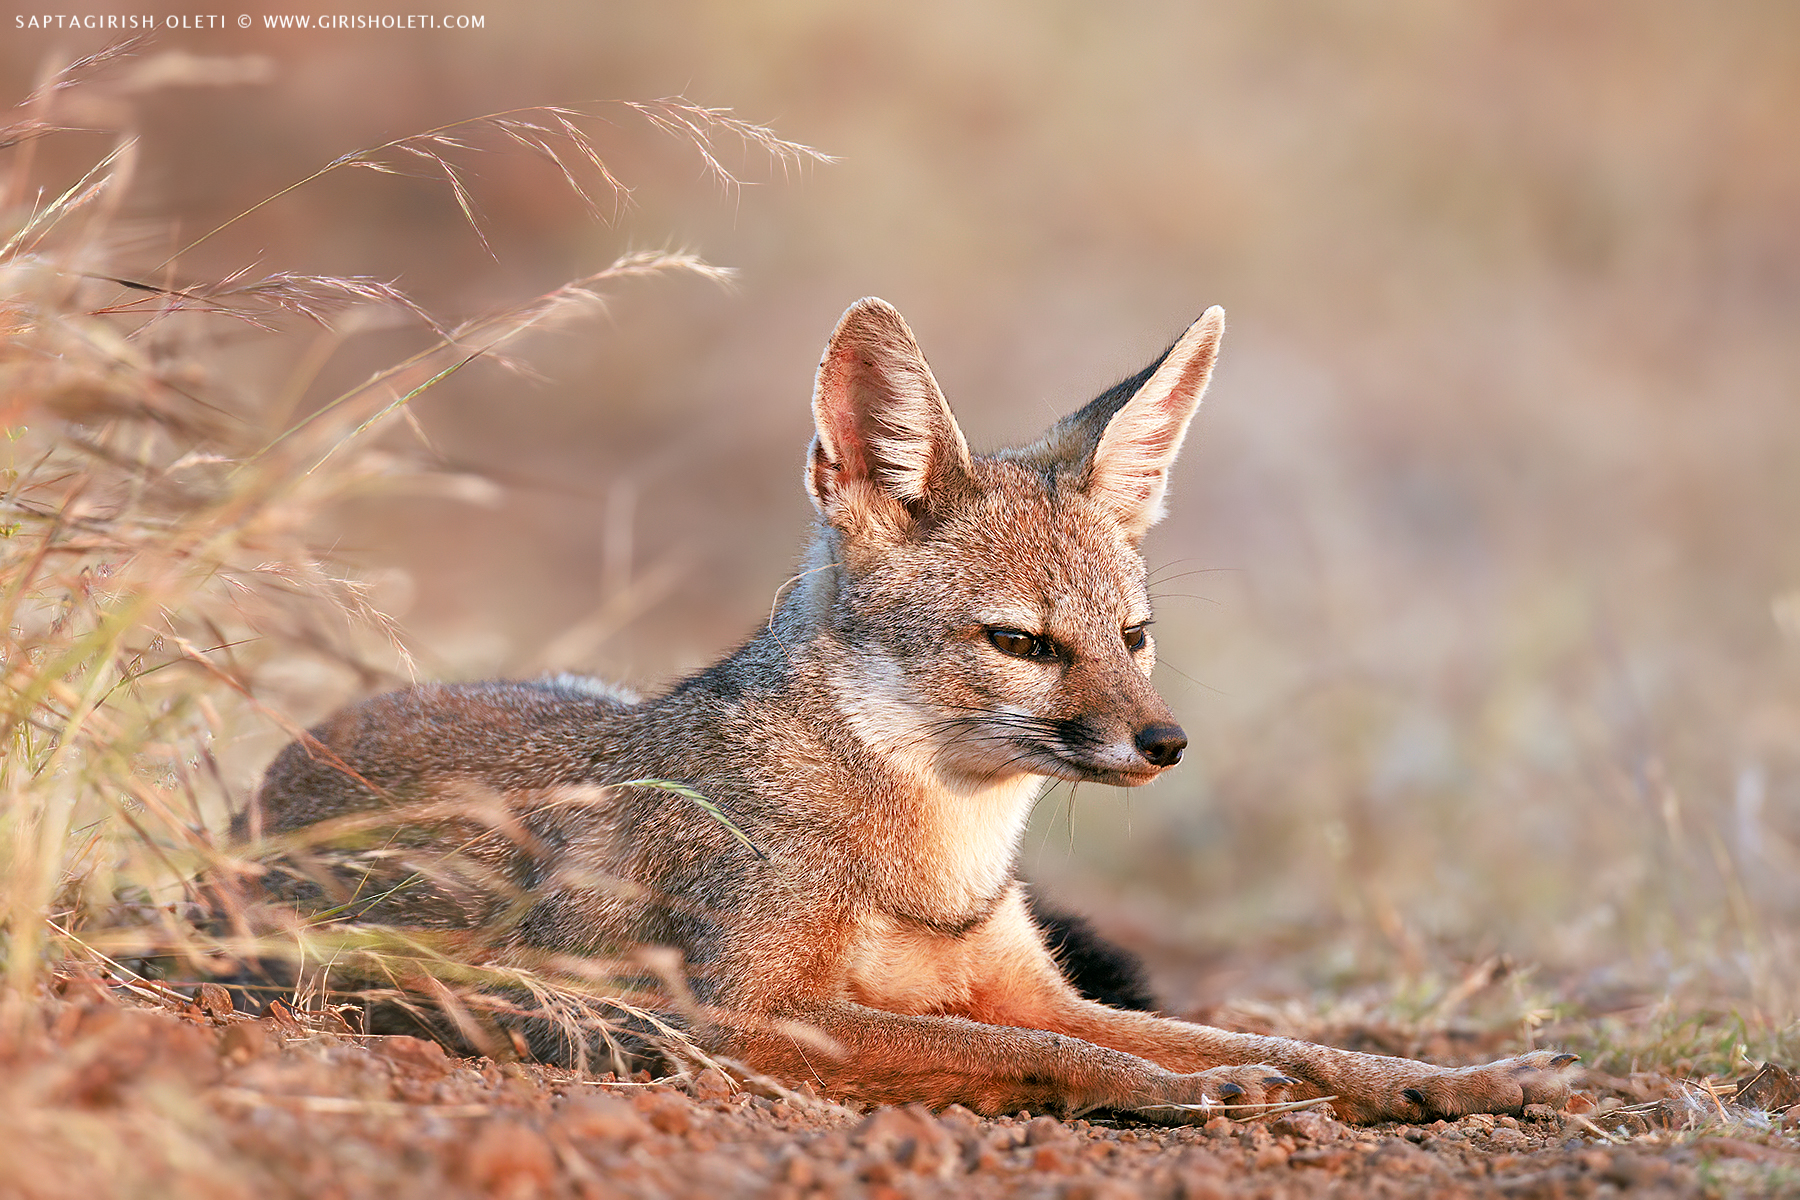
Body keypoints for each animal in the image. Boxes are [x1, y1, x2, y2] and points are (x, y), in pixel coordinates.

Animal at [242, 298, 1575, 1124]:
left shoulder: (1033, 984)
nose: (1166, 744)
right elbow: (1034, 1052)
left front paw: (1459, 1080)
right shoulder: (732, 1021)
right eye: (1022, 643)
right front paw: (1183, 1091)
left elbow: (1286, 1042)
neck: (939, 865)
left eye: (1134, 637)